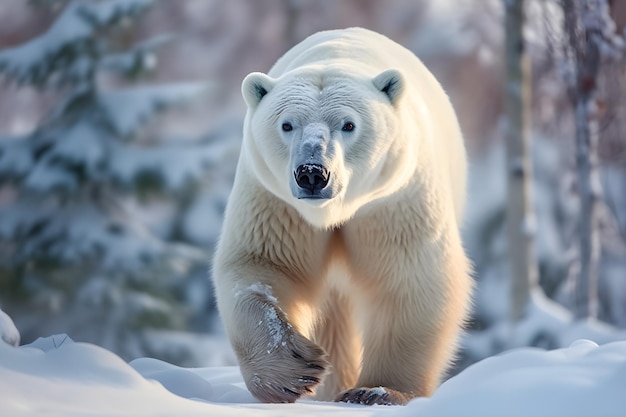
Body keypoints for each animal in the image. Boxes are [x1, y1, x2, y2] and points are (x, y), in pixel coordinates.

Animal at [212, 27, 470, 404]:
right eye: (286, 124)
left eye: (349, 125)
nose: (312, 173)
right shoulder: (276, 201)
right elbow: (262, 265)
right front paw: (293, 371)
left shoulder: (392, 200)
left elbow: (409, 278)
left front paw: (377, 391)